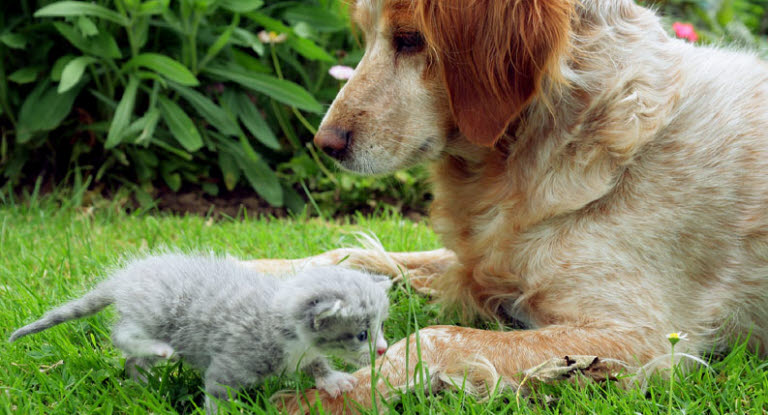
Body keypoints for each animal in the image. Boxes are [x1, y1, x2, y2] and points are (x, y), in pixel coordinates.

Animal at [7, 255, 390, 414]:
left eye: (380, 327)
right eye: (361, 334)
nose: (384, 350)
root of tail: (125, 278)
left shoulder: (303, 353)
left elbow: (315, 363)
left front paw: (333, 380)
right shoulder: (229, 366)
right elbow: (218, 396)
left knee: (132, 362)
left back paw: (143, 386)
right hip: (152, 313)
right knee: (122, 336)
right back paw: (158, 350)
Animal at [246, 0, 768, 412]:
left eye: (410, 39)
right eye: (367, 34)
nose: (324, 143)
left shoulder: (646, 337)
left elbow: (434, 336)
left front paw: (325, 396)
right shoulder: (480, 262)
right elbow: (349, 254)